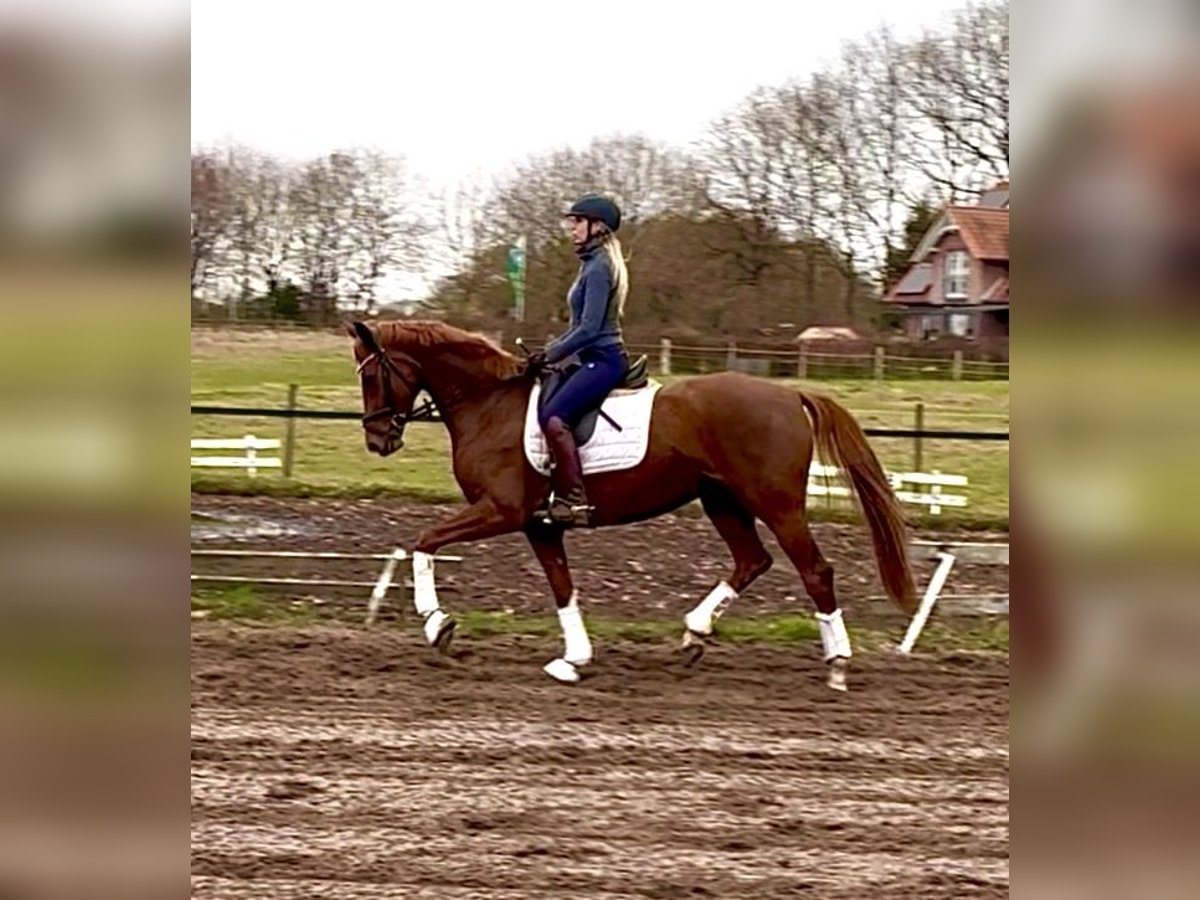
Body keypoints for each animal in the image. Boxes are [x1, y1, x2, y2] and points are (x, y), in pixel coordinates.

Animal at [346, 319, 917, 689]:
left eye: (371, 374)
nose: (377, 440)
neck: (489, 404)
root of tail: (789, 394)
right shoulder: (540, 526)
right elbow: (563, 590)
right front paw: (574, 660)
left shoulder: (502, 511)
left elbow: (424, 542)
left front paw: (437, 625)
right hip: (722, 500)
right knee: (752, 561)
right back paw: (694, 634)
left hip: (776, 504)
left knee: (815, 570)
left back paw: (837, 664)